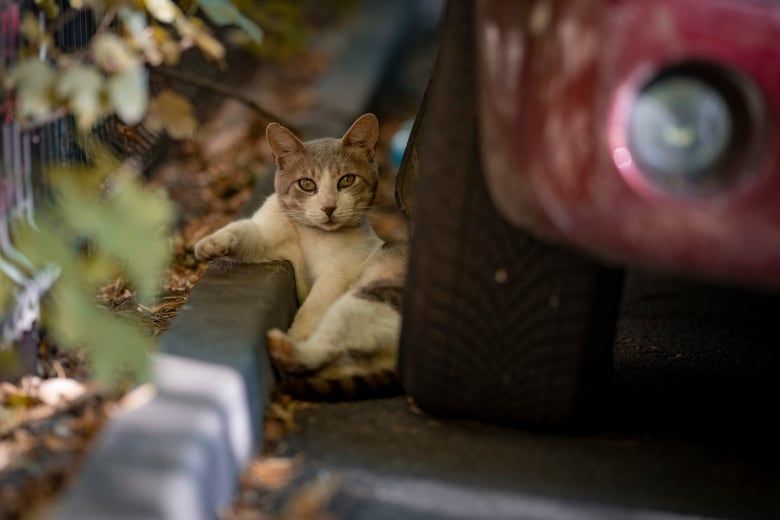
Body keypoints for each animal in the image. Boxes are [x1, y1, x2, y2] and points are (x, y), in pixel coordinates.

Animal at [193, 114, 406, 398]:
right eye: (306, 184)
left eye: (347, 180)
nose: (328, 207)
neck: (314, 236)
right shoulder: (269, 237)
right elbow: (244, 231)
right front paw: (211, 244)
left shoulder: (337, 275)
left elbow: (313, 306)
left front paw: (299, 331)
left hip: (365, 299)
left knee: (324, 346)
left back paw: (284, 344)